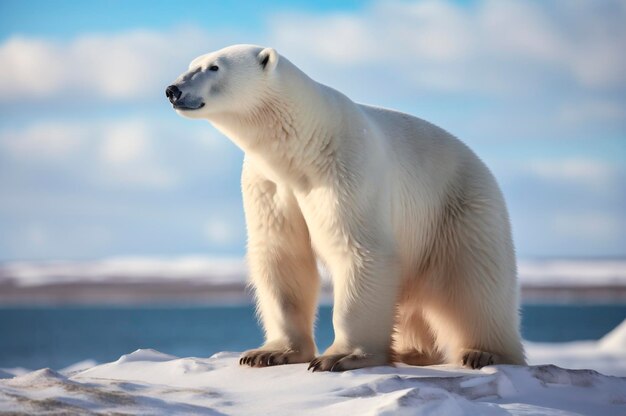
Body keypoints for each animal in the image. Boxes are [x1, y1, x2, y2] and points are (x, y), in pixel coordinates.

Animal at [166, 44, 520, 370]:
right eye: (191, 64)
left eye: (213, 67)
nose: (173, 90)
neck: (304, 143)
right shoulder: (269, 183)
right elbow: (283, 256)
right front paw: (269, 352)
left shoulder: (346, 169)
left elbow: (360, 250)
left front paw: (340, 356)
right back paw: (411, 352)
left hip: (460, 209)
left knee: (475, 284)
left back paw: (483, 352)